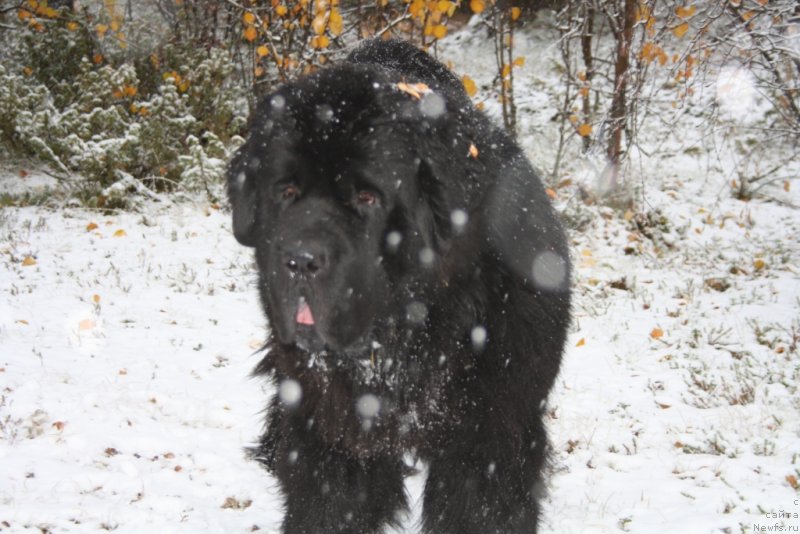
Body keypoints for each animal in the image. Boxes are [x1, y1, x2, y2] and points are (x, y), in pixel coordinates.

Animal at [228, 38, 572, 534]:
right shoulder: (333, 438)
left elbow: (478, 506)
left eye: (368, 197)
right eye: (286, 191)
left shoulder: (489, 436)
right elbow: (330, 503)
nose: (300, 260)